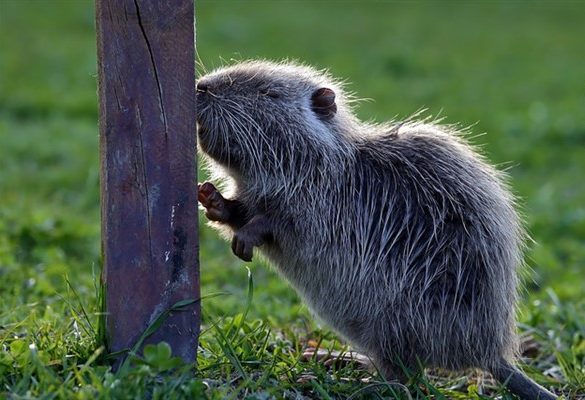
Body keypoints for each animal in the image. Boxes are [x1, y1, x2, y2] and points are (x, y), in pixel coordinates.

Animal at [195, 60, 556, 400]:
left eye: (267, 92)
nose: (201, 87)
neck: (331, 163)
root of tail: (491, 355)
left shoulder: (324, 203)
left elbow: (283, 224)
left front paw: (244, 239)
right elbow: (242, 210)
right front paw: (210, 197)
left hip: (400, 318)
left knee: (403, 378)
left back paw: (341, 381)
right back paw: (332, 358)